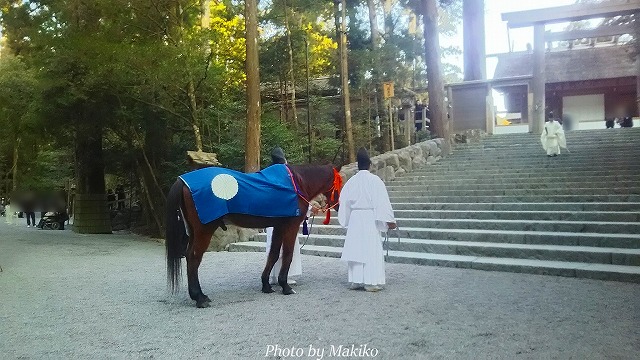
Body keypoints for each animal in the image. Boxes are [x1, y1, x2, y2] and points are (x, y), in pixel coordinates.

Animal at [168, 163, 342, 306]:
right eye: (340, 183)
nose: (338, 206)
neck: (297, 183)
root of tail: (182, 181)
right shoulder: (290, 227)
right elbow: (287, 254)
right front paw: (285, 286)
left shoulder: (279, 227)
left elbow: (273, 255)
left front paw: (266, 285)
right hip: (204, 231)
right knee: (194, 258)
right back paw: (199, 298)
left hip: (194, 232)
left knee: (189, 256)